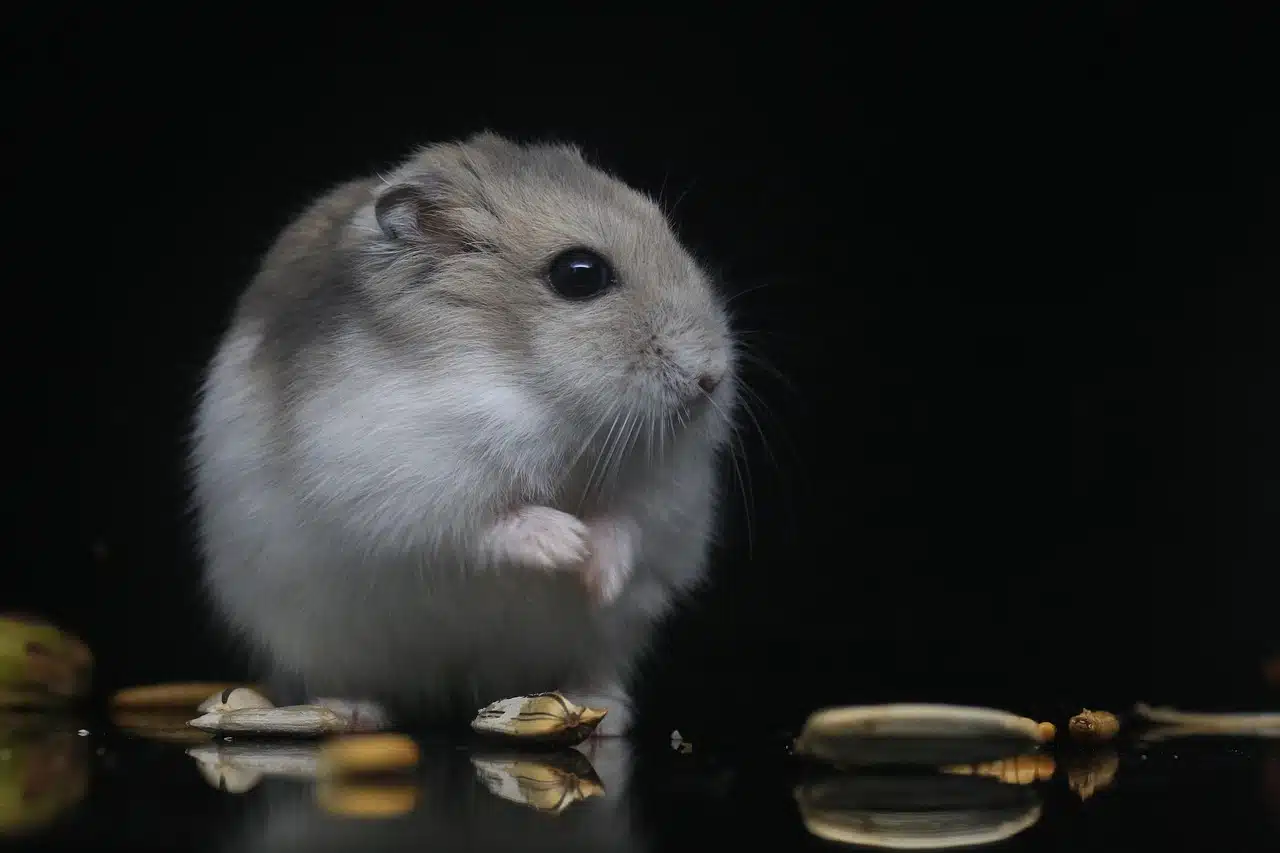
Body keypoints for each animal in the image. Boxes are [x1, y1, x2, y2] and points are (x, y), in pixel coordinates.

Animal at [190, 131, 737, 734]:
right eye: (580, 273)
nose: (712, 377)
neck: (536, 390)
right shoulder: (407, 484)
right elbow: (486, 524)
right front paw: (566, 542)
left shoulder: (667, 491)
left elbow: (629, 521)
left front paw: (599, 572)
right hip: (312, 632)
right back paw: (350, 713)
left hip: (602, 639)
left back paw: (604, 713)